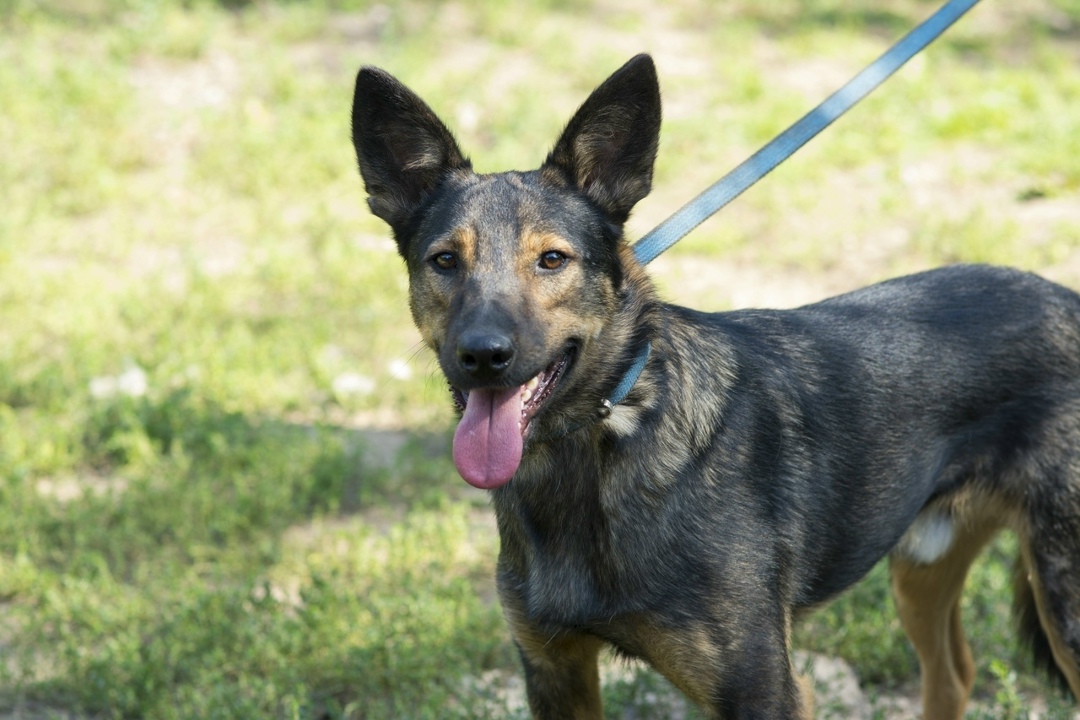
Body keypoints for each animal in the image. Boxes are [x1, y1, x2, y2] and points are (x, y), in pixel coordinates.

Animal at [350, 53, 1080, 719]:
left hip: (1061, 600)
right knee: (954, 674)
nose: (481, 356)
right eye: (445, 261)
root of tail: (1066, 297)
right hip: (923, 563)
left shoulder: (764, 690)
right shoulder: (555, 670)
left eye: (552, 259)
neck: (607, 441)